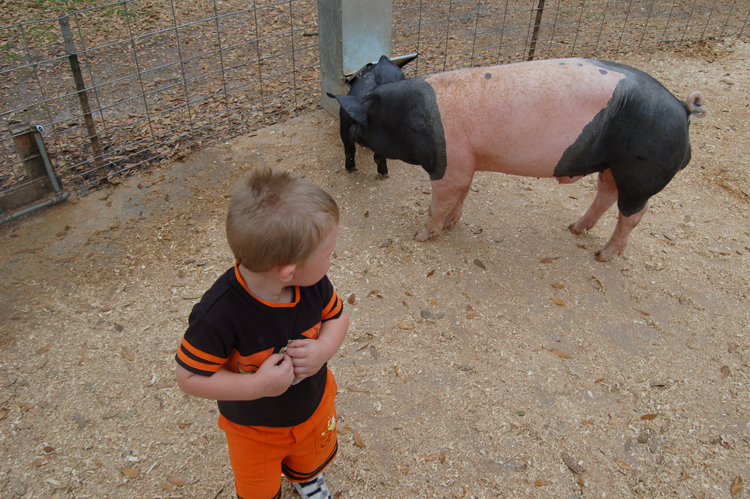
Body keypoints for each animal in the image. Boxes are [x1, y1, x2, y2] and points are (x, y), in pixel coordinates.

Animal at [332, 58, 708, 262]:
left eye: (365, 120)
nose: (349, 131)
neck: (410, 117)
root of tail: (681, 108)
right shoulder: (467, 161)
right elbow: (462, 194)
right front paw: (453, 224)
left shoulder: (449, 163)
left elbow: (439, 202)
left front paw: (420, 236)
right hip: (615, 166)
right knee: (605, 194)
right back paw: (575, 228)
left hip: (640, 170)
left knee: (632, 215)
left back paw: (602, 255)